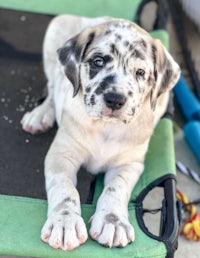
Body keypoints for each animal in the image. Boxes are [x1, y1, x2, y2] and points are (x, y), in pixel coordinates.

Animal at [21, 14, 180, 250]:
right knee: (52, 86)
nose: (115, 99)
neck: (106, 127)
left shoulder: (128, 164)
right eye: (98, 62)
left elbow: (115, 189)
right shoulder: (61, 155)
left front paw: (112, 221)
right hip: (57, 27)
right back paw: (39, 115)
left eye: (140, 73)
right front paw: (65, 221)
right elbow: (65, 188)